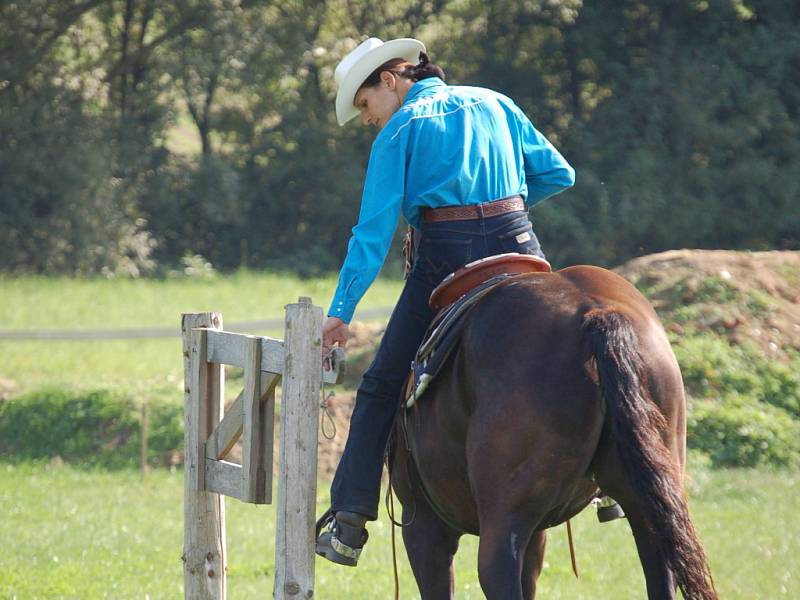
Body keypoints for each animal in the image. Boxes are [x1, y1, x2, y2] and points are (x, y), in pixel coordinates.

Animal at [390, 268, 716, 600]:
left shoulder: (424, 527)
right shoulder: (535, 533)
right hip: (647, 503)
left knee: (496, 573)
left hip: (501, 521)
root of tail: (596, 315)